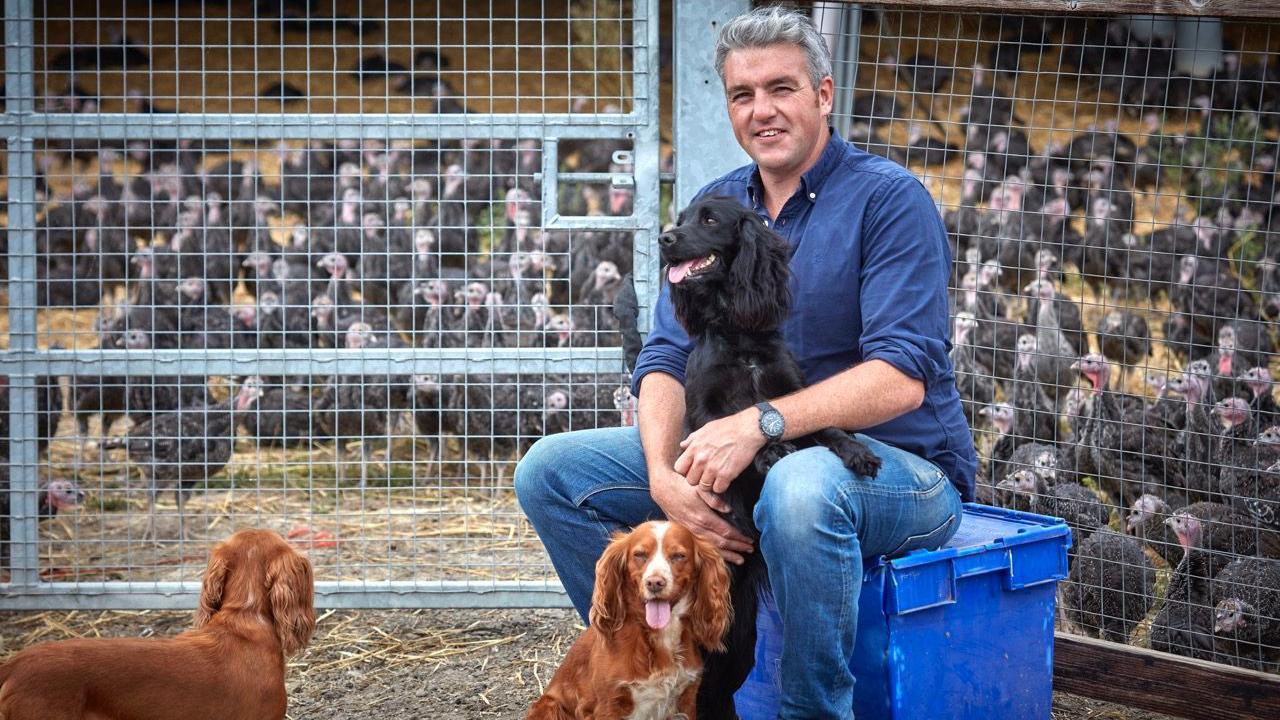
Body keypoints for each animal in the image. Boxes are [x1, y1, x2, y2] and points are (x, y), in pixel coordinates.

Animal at [527, 517, 732, 717]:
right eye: (639, 554)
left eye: (679, 556)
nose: (655, 583)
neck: (659, 636)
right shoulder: (608, 704)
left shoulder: (686, 700)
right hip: (550, 707)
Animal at [660, 193, 880, 712]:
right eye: (679, 220)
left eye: (709, 220)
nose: (664, 240)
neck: (742, 340)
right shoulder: (702, 419)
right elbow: (733, 435)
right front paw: (769, 451)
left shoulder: (791, 395)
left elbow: (824, 425)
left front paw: (857, 452)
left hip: (738, 638)